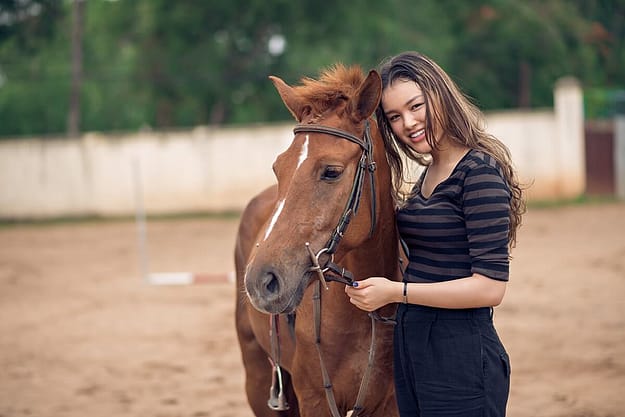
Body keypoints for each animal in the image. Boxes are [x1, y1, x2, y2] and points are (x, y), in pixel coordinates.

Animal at [233, 65, 400, 416]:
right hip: (259, 379)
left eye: (332, 171)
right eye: (277, 168)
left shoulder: (389, 404)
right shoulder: (314, 399)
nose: (260, 281)